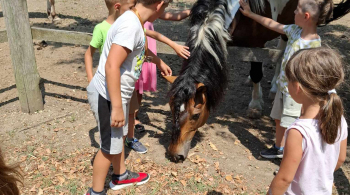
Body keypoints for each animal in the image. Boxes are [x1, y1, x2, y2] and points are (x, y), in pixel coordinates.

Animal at [166, 0, 350, 161]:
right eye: (172, 108)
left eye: (196, 115)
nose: (175, 155)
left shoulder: (256, 44)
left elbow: (257, 73)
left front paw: (255, 105)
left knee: (282, 51)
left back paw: (275, 88)